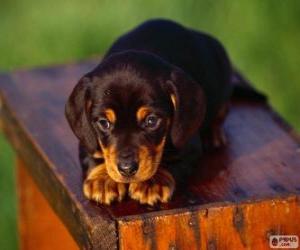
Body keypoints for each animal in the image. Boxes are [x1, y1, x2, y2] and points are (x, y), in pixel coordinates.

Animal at [65, 18, 260, 205]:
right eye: (104, 123)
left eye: (151, 121)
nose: (127, 169)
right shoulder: (87, 138)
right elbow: (93, 154)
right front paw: (103, 180)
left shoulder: (188, 145)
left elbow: (174, 161)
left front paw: (153, 182)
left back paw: (213, 134)